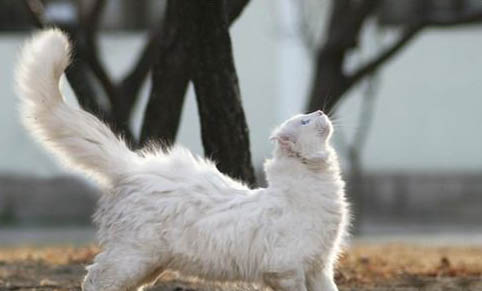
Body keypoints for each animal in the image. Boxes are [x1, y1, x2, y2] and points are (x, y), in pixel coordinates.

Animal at [17, 29, 348, 291]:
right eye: (305, 121)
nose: (320, 111)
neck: (313, 184)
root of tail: (134, 166)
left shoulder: (319, 268)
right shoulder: (287, 269)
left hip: (149, 265)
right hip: (132, 257)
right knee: (94, 279)